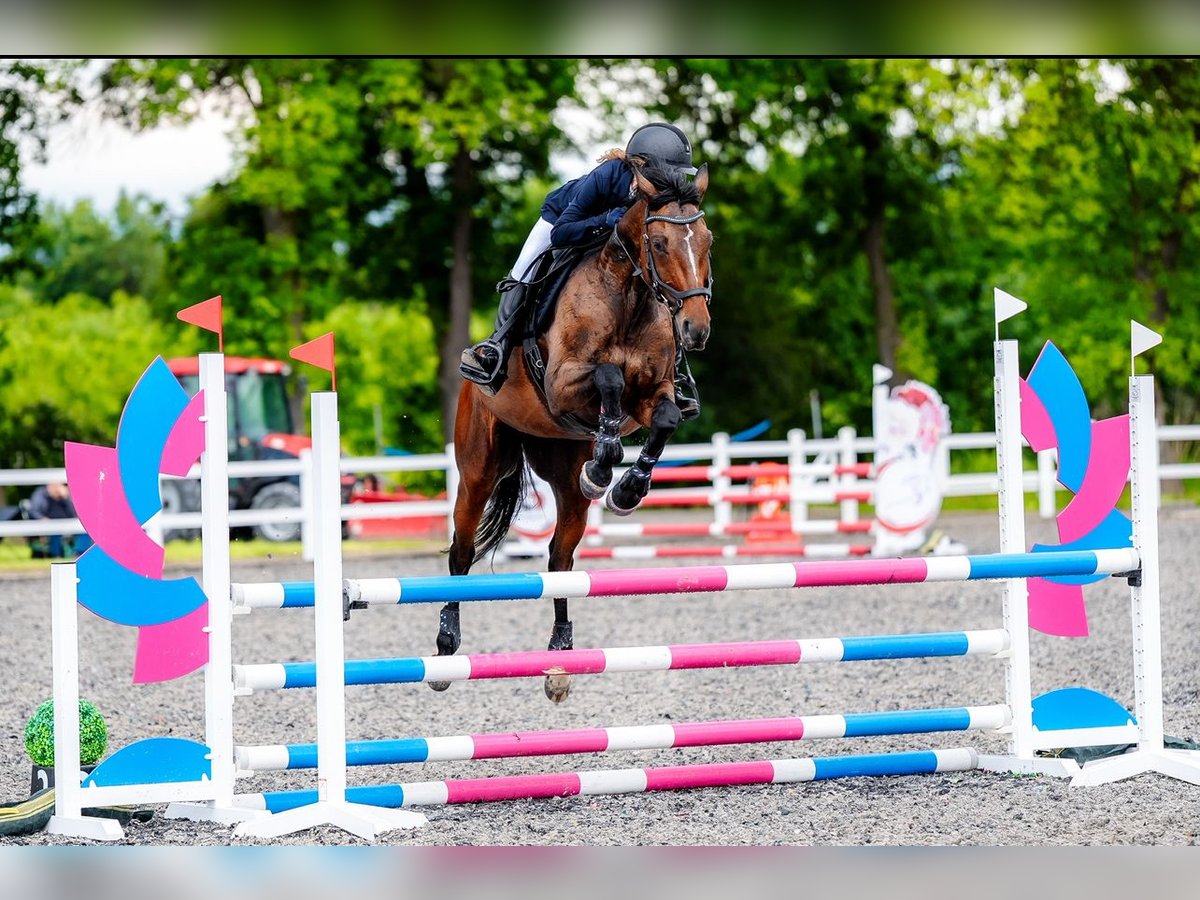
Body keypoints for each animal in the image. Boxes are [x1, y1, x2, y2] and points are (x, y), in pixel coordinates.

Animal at [436, 162, 713, 703]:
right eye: (660, 243)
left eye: (708, 241)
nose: (695, 330)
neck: (630, 294)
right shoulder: (563, 382)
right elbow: (607, 377)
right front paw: (608, 461)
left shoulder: (654, 392)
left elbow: (665, 418)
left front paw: (625, 486)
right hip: (478, 468)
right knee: (462, 551)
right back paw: (445, 646)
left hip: (561, 473)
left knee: (560, 559)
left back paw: (560, 659)